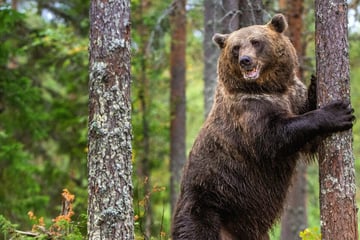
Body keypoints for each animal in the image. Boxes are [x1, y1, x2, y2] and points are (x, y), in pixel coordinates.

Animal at [172, 14, 354, 240]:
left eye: (256, 42)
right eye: (236, 47)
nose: (245, 60)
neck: (270, 88)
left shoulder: (291, 96)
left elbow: (308, 137)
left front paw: (314, 84)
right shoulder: (248, 112)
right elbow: (274, 137)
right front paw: (339, 112)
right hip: (205, 204)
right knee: (196, 229)